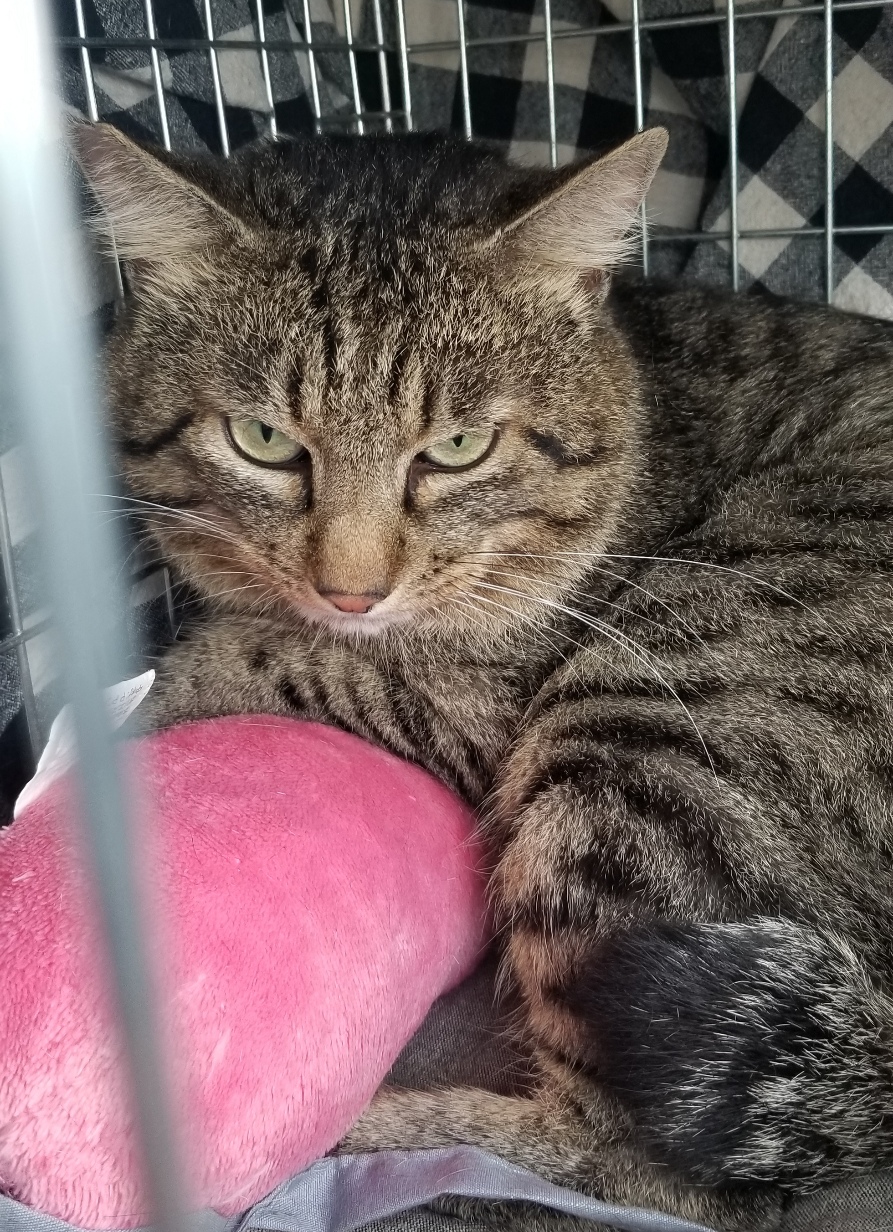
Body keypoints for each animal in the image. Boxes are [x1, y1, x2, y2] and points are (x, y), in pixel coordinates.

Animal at [72, 119, 893, 1232]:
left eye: (458, 448)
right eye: (263, 440)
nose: (350, 589)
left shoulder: (466, 698)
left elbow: (248, 659)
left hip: (656, 723)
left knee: (641, 1173)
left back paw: (343, 1145)